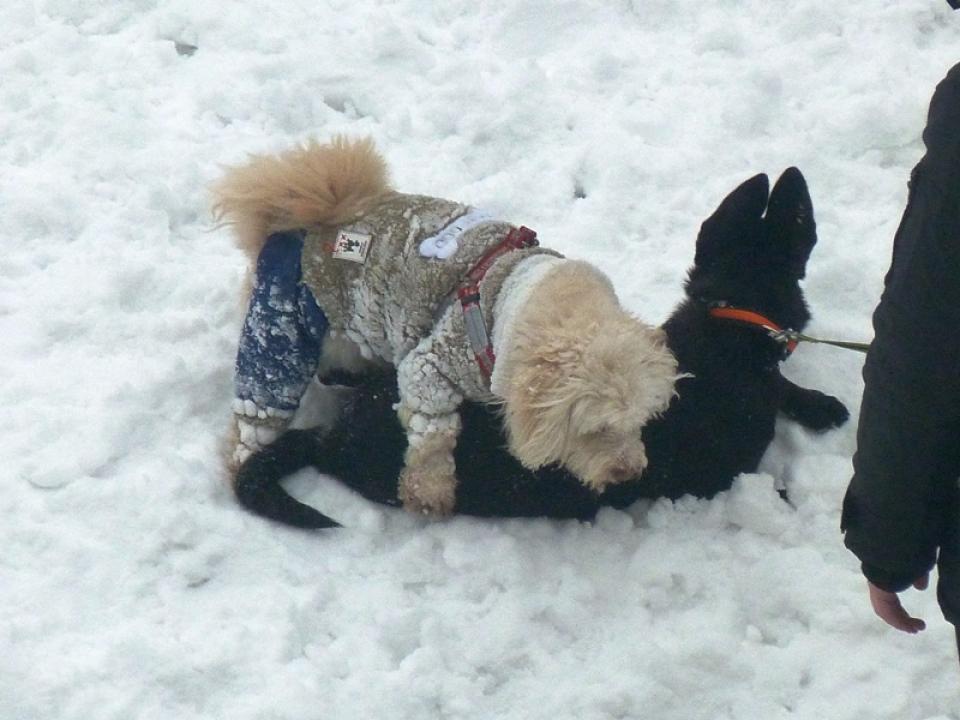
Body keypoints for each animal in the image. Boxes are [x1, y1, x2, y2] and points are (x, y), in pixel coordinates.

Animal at [213, 137, 679, 517]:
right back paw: (248, 465)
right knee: (252, 420)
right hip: (280, 332)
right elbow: (434, 435)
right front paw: (428, 492)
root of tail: (294, 215)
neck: (514, 297)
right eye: (596, 429)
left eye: (641, 420)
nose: (629, 471)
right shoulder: (429, 367)